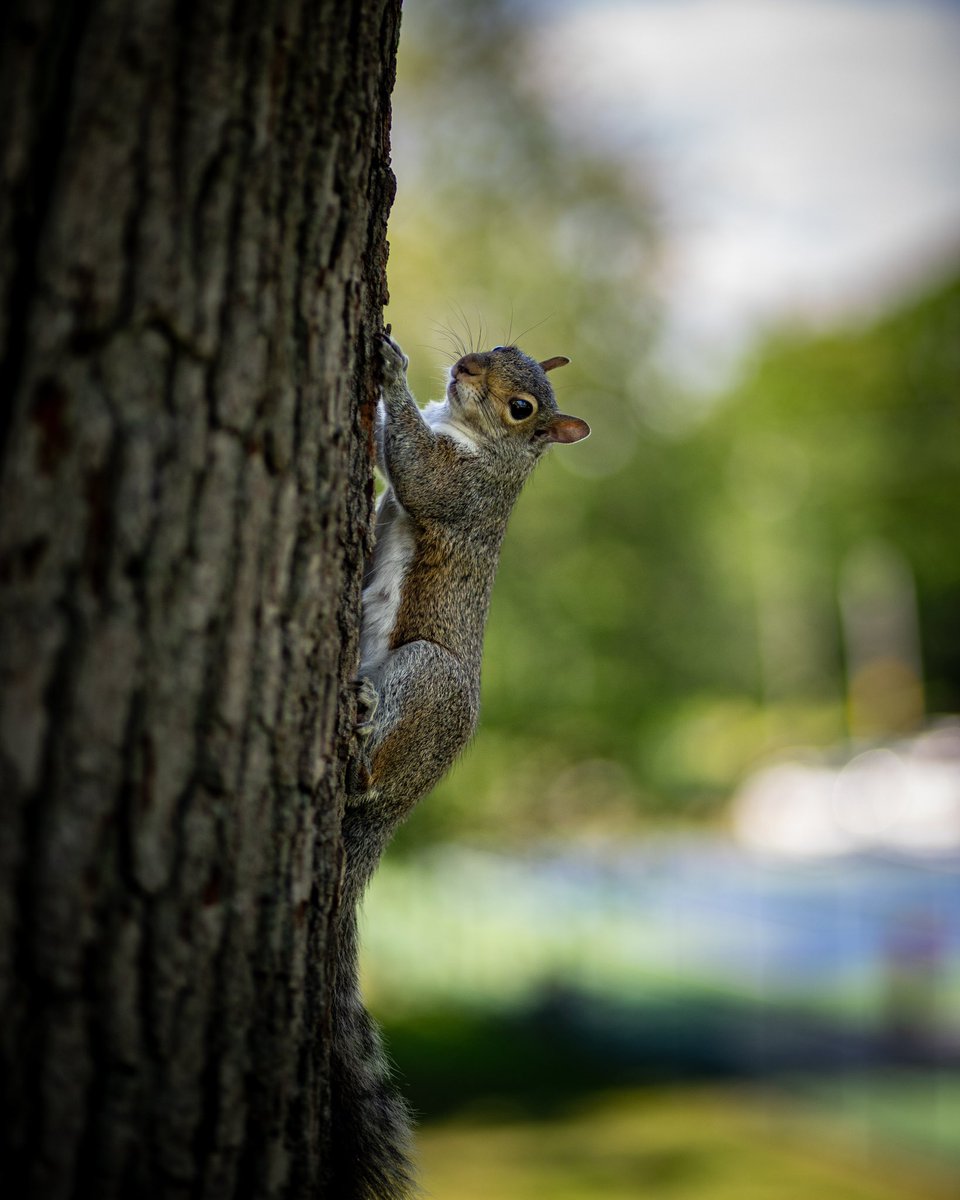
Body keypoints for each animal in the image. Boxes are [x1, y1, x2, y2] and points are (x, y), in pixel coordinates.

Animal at [329, 332, 590, 1199]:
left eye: (523, 408)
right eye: (504, 346)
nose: (467, 367)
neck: (482, 442)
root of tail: (392, 815)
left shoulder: (462, 493)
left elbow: (417, 470)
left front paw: (389, 367)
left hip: (428, 683)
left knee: (370, 771)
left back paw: (363, 728)